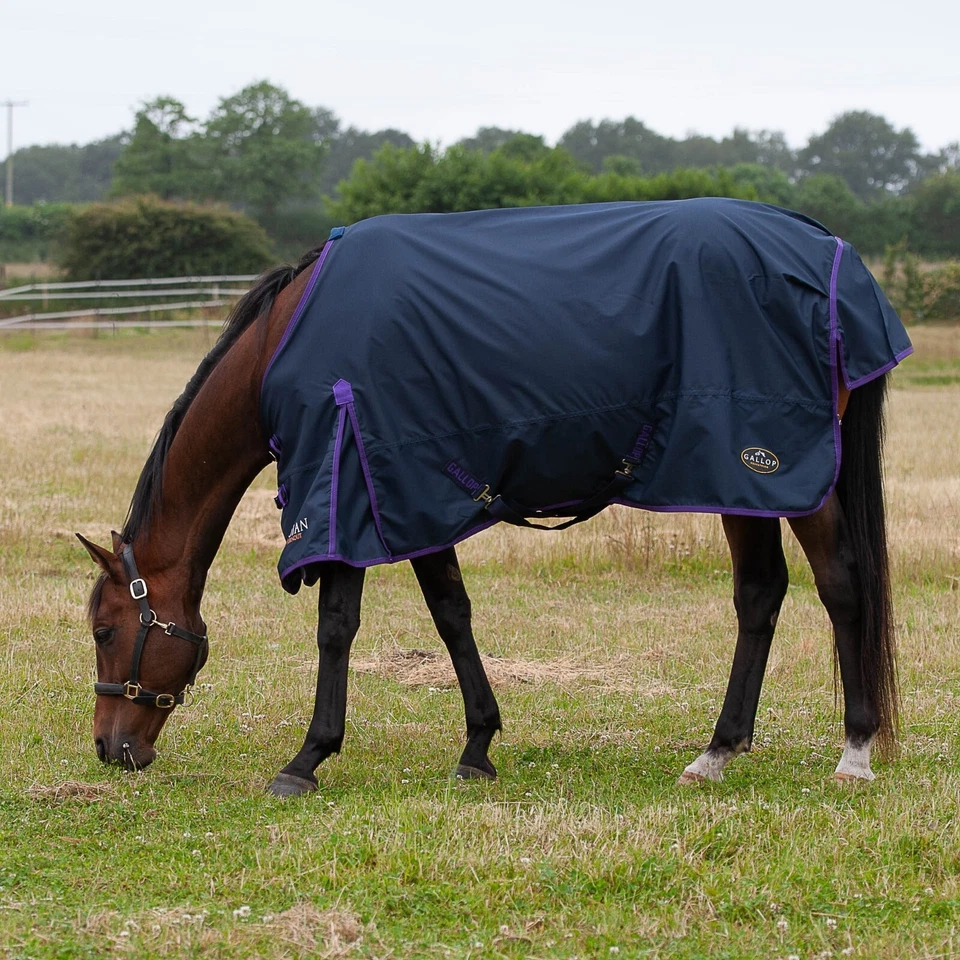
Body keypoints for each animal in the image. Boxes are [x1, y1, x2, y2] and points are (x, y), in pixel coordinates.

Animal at [78, 199, 910, 797]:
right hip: (740, 481)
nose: (110, 746)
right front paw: (478, 746)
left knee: (839, 585)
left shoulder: (345, 488)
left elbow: (336, 628)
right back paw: (717, 752)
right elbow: (453, 614)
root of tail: (830, 255)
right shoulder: (409, 493)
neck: (288, 342)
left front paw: (307, 757)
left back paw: (853, 752)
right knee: (761, 593)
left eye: (105, 629)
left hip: (772, 469)